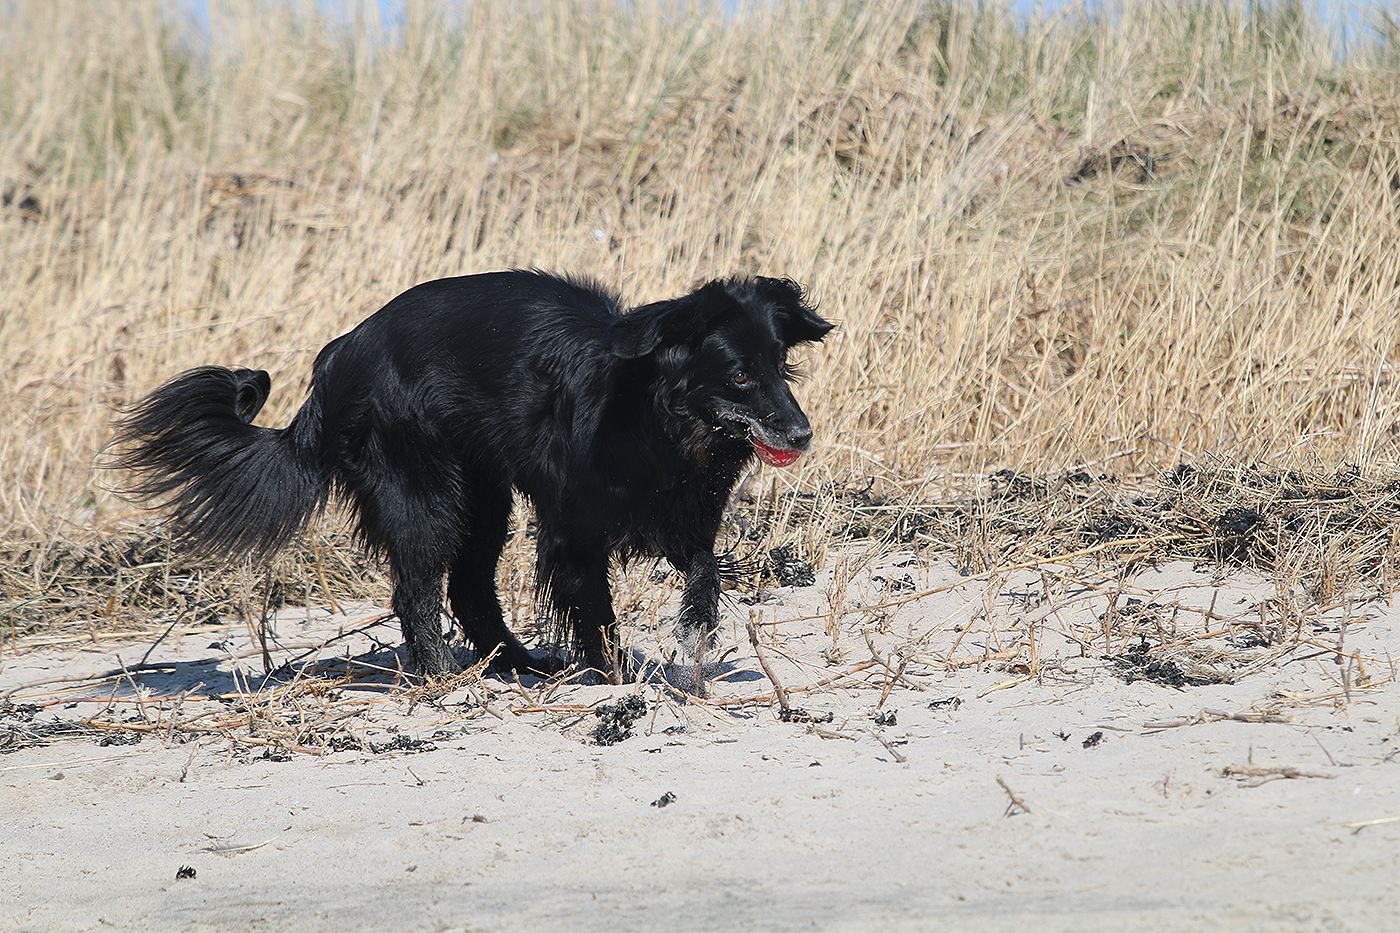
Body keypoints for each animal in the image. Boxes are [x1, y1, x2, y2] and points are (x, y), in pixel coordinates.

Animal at [113, 270, 832, 680]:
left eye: (780, 365)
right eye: (737, 374)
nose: (802, 434)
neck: (653, 416)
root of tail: (337, 361)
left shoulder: (681, 515)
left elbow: (706, 571)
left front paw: (693, 632)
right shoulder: (574, 531)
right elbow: (594, 608)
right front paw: (616, 672)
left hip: (483, 496)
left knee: (469, 589)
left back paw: (514, 663)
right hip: (426, 495)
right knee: (417, 591)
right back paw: (441, 678)